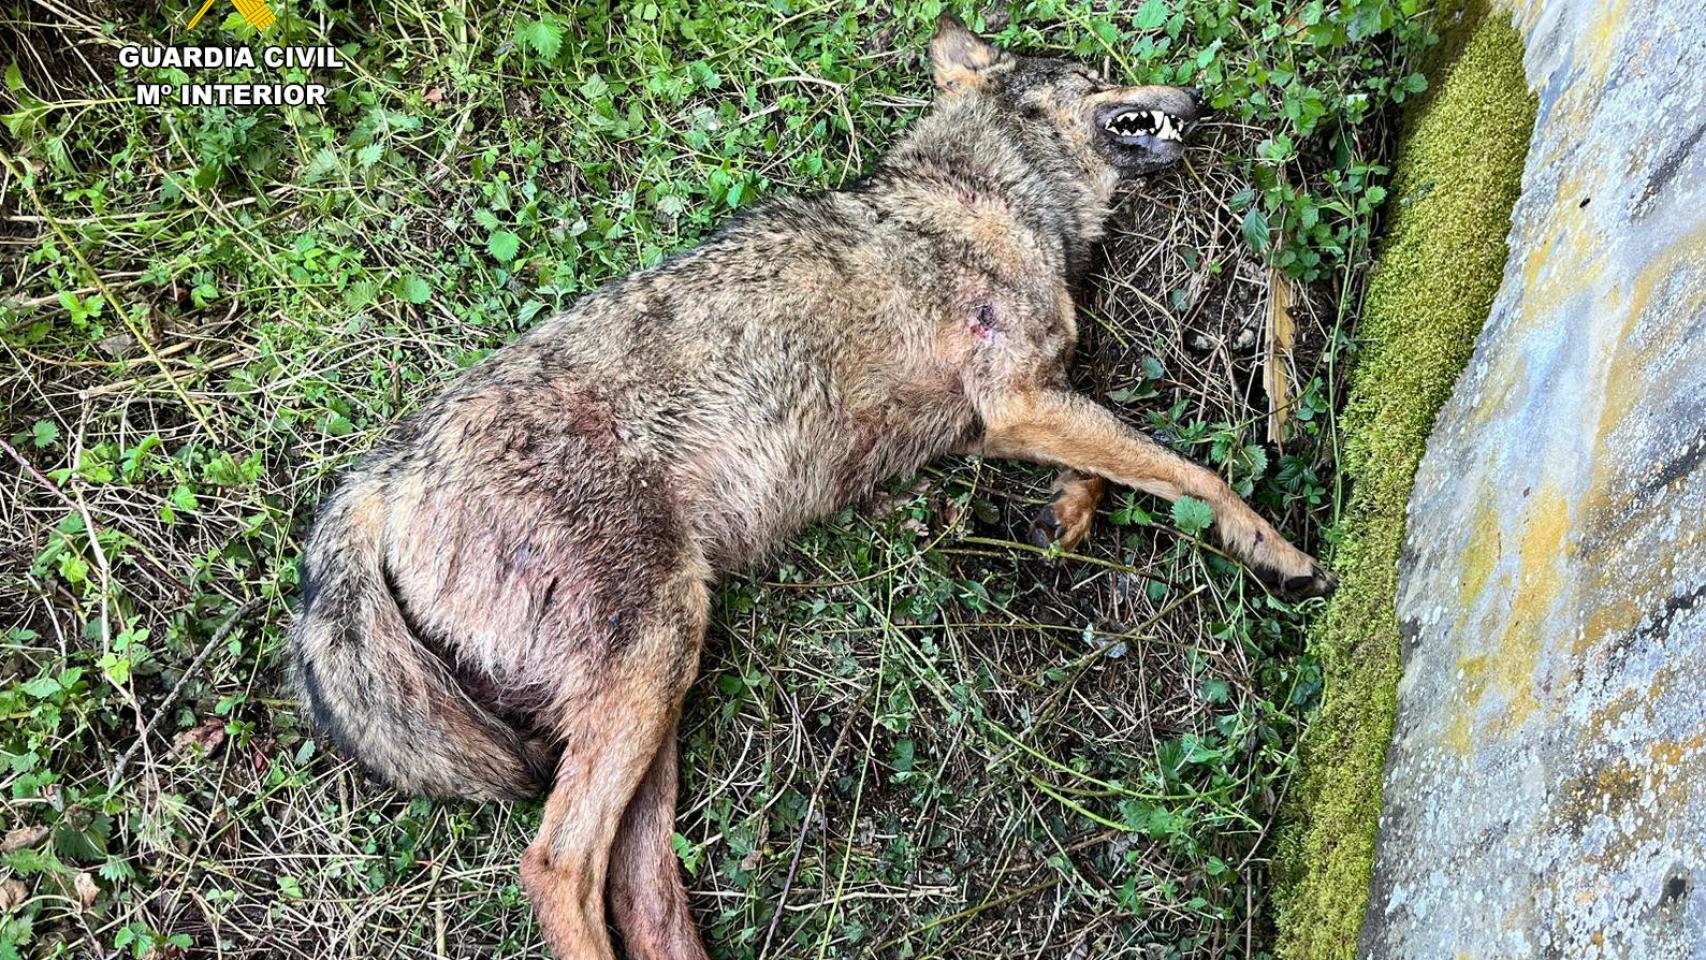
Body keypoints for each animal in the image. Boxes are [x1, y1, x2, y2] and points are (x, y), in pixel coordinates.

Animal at [291, 15, 1336, 959]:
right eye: (1096, 70)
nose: (1196, 95)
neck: (991, 194)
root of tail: (385, 473)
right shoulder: (1015, 401)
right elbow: (1192, 468)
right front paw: (1279, 551)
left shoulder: (1013, 411)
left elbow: (1121, 457)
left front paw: (1071, 515)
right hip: (652, 664)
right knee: (557, 867)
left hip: (652, 703)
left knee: (644, 896)